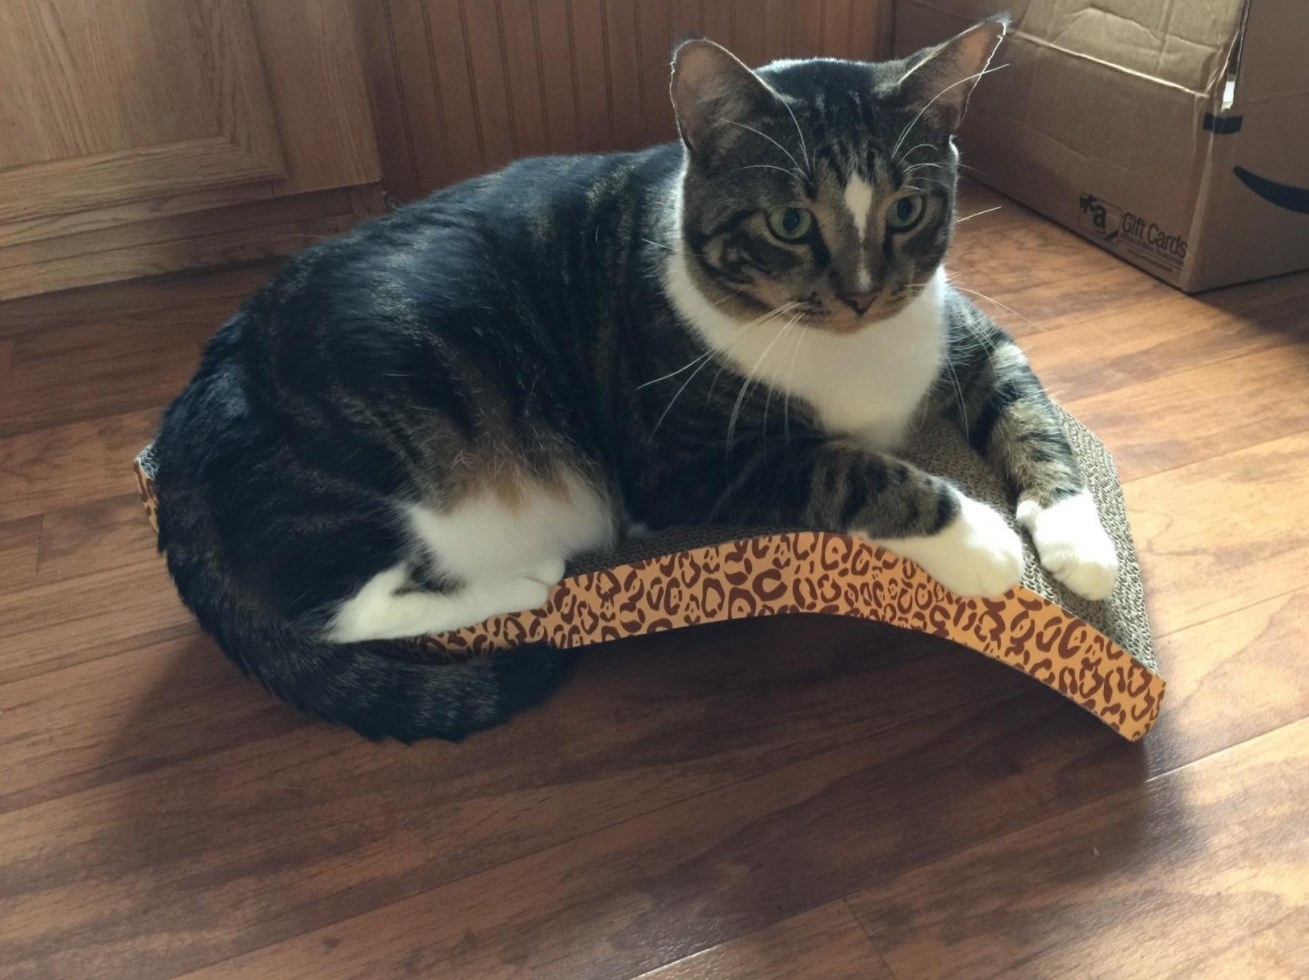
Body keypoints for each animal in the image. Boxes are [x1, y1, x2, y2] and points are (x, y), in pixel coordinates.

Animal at [150, 19, 1115, 737]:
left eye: (907, 209)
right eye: (790, 223)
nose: (862, 291)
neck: (850, 349)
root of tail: (195, 396)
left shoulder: (967, 335)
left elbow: (1027, 406)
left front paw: (1082, 546)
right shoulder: (686, 464)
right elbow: (850, 467)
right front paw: (981, 540)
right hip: (373, 465)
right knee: (331, 609)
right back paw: (522, 582)